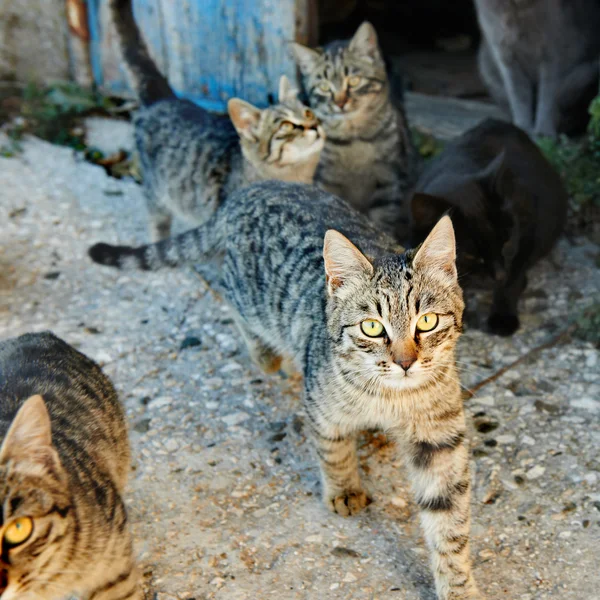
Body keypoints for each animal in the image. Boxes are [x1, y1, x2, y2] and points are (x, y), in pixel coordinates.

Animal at [90, 180, 482, 596]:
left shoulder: (439, 438)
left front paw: (458, 585)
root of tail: (252, 190)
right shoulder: (321, 405)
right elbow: (333, 450)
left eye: (426, 321)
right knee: (229, 295)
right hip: (249, 297)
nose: (405, 362)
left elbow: (449, 518)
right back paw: (267, 355)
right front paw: (344, 489)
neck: (391, 398)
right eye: (372, 327)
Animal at [110, 1, 326, 243]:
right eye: (286, 126)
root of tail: (165, 98)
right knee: (157, 221)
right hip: (156, 193)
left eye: (308, 113)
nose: (314, 126)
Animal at [410, 119, 568, 336]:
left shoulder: (527, 230)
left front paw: (503, 317)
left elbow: (513, 280)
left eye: (507, 244)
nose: (499, 275)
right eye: (470, 255)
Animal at [476, 0, 600, 135]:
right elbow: (519, 99)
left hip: (584, 75)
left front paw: (543, 133)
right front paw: (523, 130)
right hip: (486, 68)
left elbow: (546, 97)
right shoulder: (507, 58)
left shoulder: (552, 55)